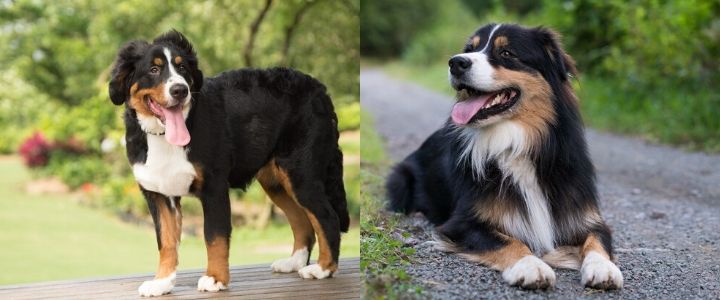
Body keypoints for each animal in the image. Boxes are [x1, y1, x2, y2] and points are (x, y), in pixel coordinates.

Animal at [107, 29, 352, 296]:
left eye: (182, 69)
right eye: (153, 69)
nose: (180, 90)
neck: (163, 137)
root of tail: (320, 89)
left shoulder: (213, 186)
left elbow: (214, 236)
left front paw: (215, 278)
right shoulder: (159, 194)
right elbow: (167, 241)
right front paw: (162, 282)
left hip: (301, 174)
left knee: (327, 217)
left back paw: (323, 269)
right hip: (277, 182)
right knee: (301, 220)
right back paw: (294, 262)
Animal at [388, 24, 624, 290]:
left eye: (507, 53)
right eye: (469, 49)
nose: (456, 62)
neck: (516, 144)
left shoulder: (585, 217)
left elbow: (597, 240)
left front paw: (603, 268)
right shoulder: (462, 222)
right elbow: (508, 241)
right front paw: (531, 266)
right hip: (400, 178)